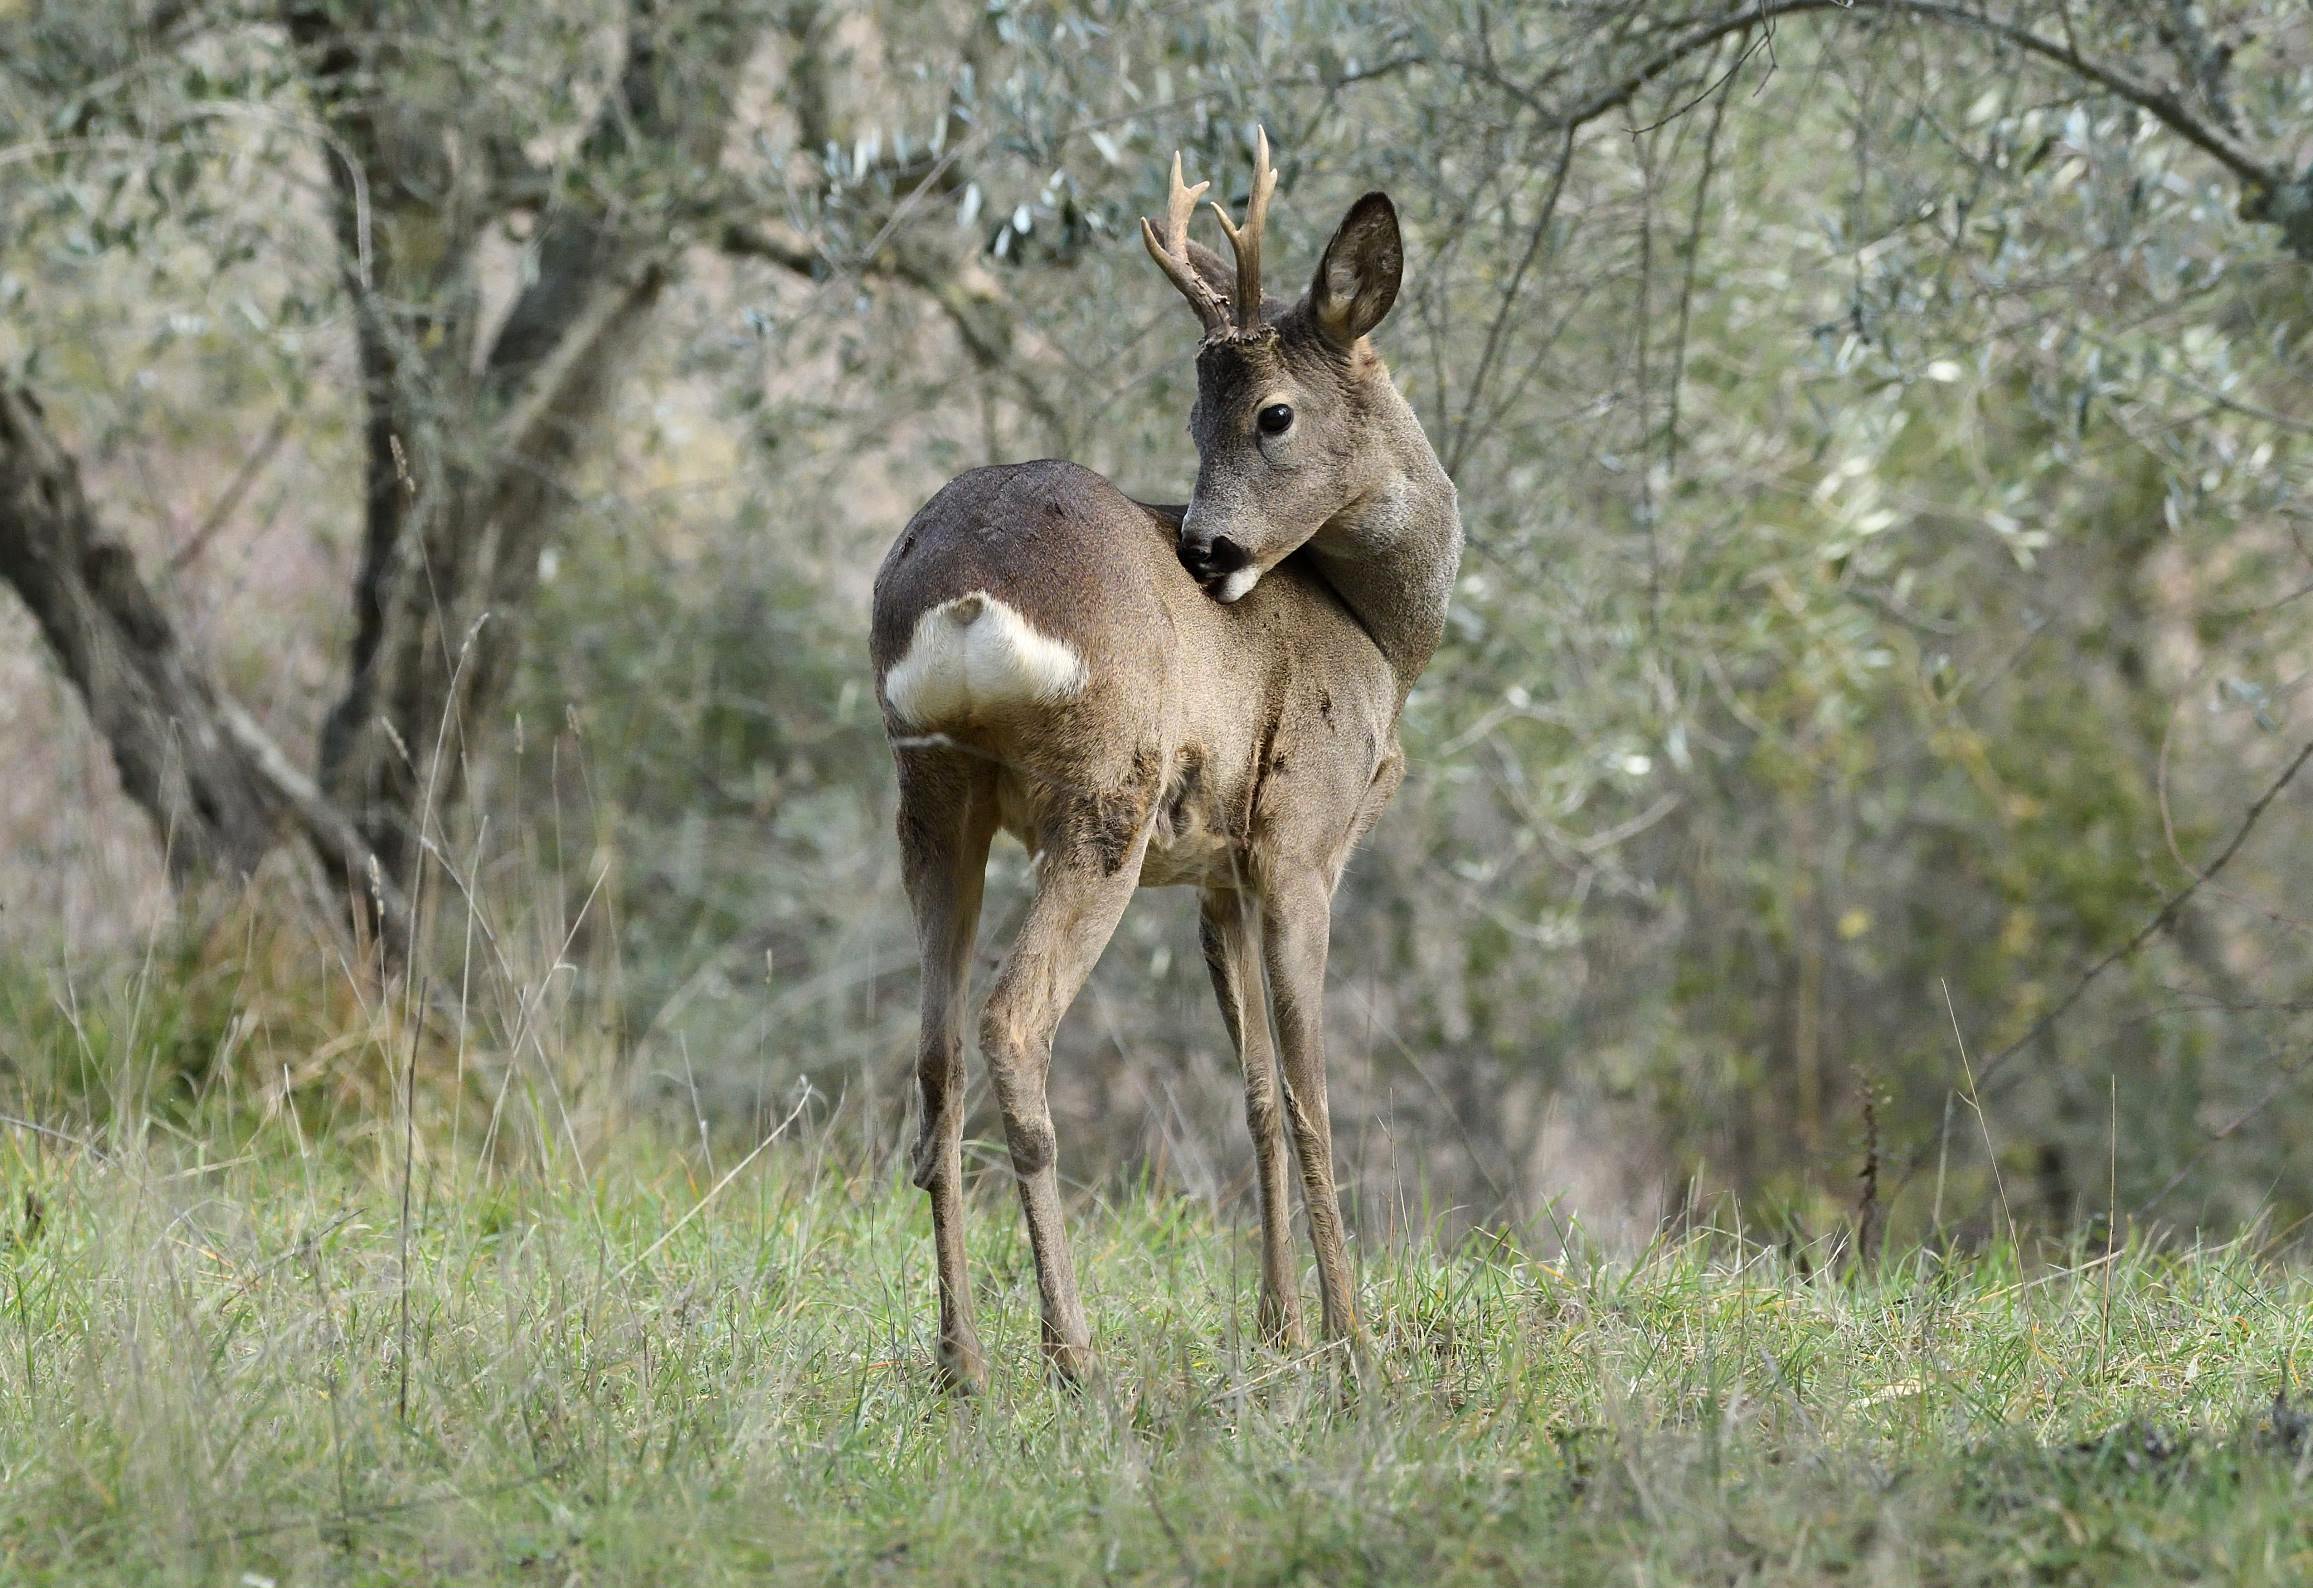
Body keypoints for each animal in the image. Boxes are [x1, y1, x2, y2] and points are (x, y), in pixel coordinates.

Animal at [870, 129, 1461, 1390]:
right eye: (1201, 420)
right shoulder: (1299, 842)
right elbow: (1311, 1096)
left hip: (931, 796)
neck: (1381, 638)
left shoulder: (1216, 875)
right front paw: (1354, 1341)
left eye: (1269, 415)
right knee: (1012, 1024)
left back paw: (963, 1363)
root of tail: (957, 600)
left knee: (936, 1060)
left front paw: (1279, 1326)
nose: (1207, 550)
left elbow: (1253, 1095)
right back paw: (1071, 1355)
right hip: (1105, 792)